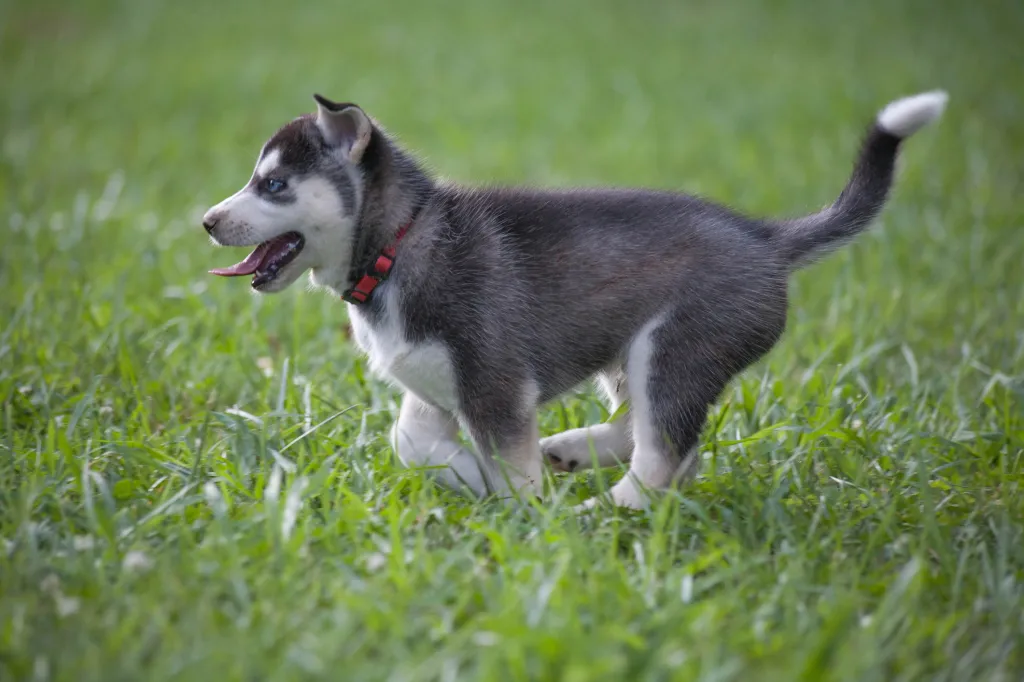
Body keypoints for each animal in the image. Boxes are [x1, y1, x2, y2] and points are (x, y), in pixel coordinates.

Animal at [203, 89, 946, 503]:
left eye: (273, 185)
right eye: (255, 178)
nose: (207, 221)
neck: (398, 244)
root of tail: (763, 236)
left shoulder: (494, 385)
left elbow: (509, 464)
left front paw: (522, 515)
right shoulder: (431, 387)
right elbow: (408, 440)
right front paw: (469, 477)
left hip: (671, 348)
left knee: (664, 453)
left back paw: (612, 509)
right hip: (633, 355)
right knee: (660, 437)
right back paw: (573, 452)